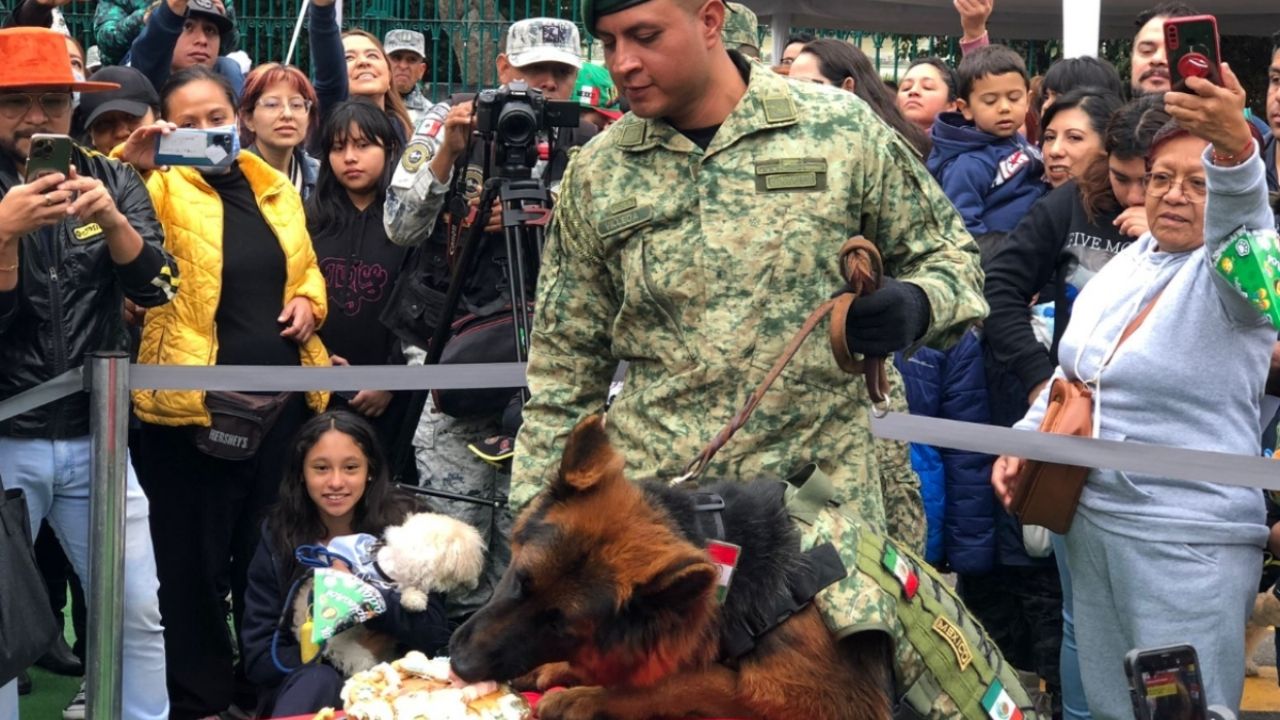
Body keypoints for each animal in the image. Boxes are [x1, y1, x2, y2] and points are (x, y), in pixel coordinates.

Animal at [448, 415, 890, 717]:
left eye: (560, 625)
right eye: (520, 580)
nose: (460, 665)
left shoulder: (800, 702)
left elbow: (678, 683)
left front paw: (582, 698)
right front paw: (559, 669)